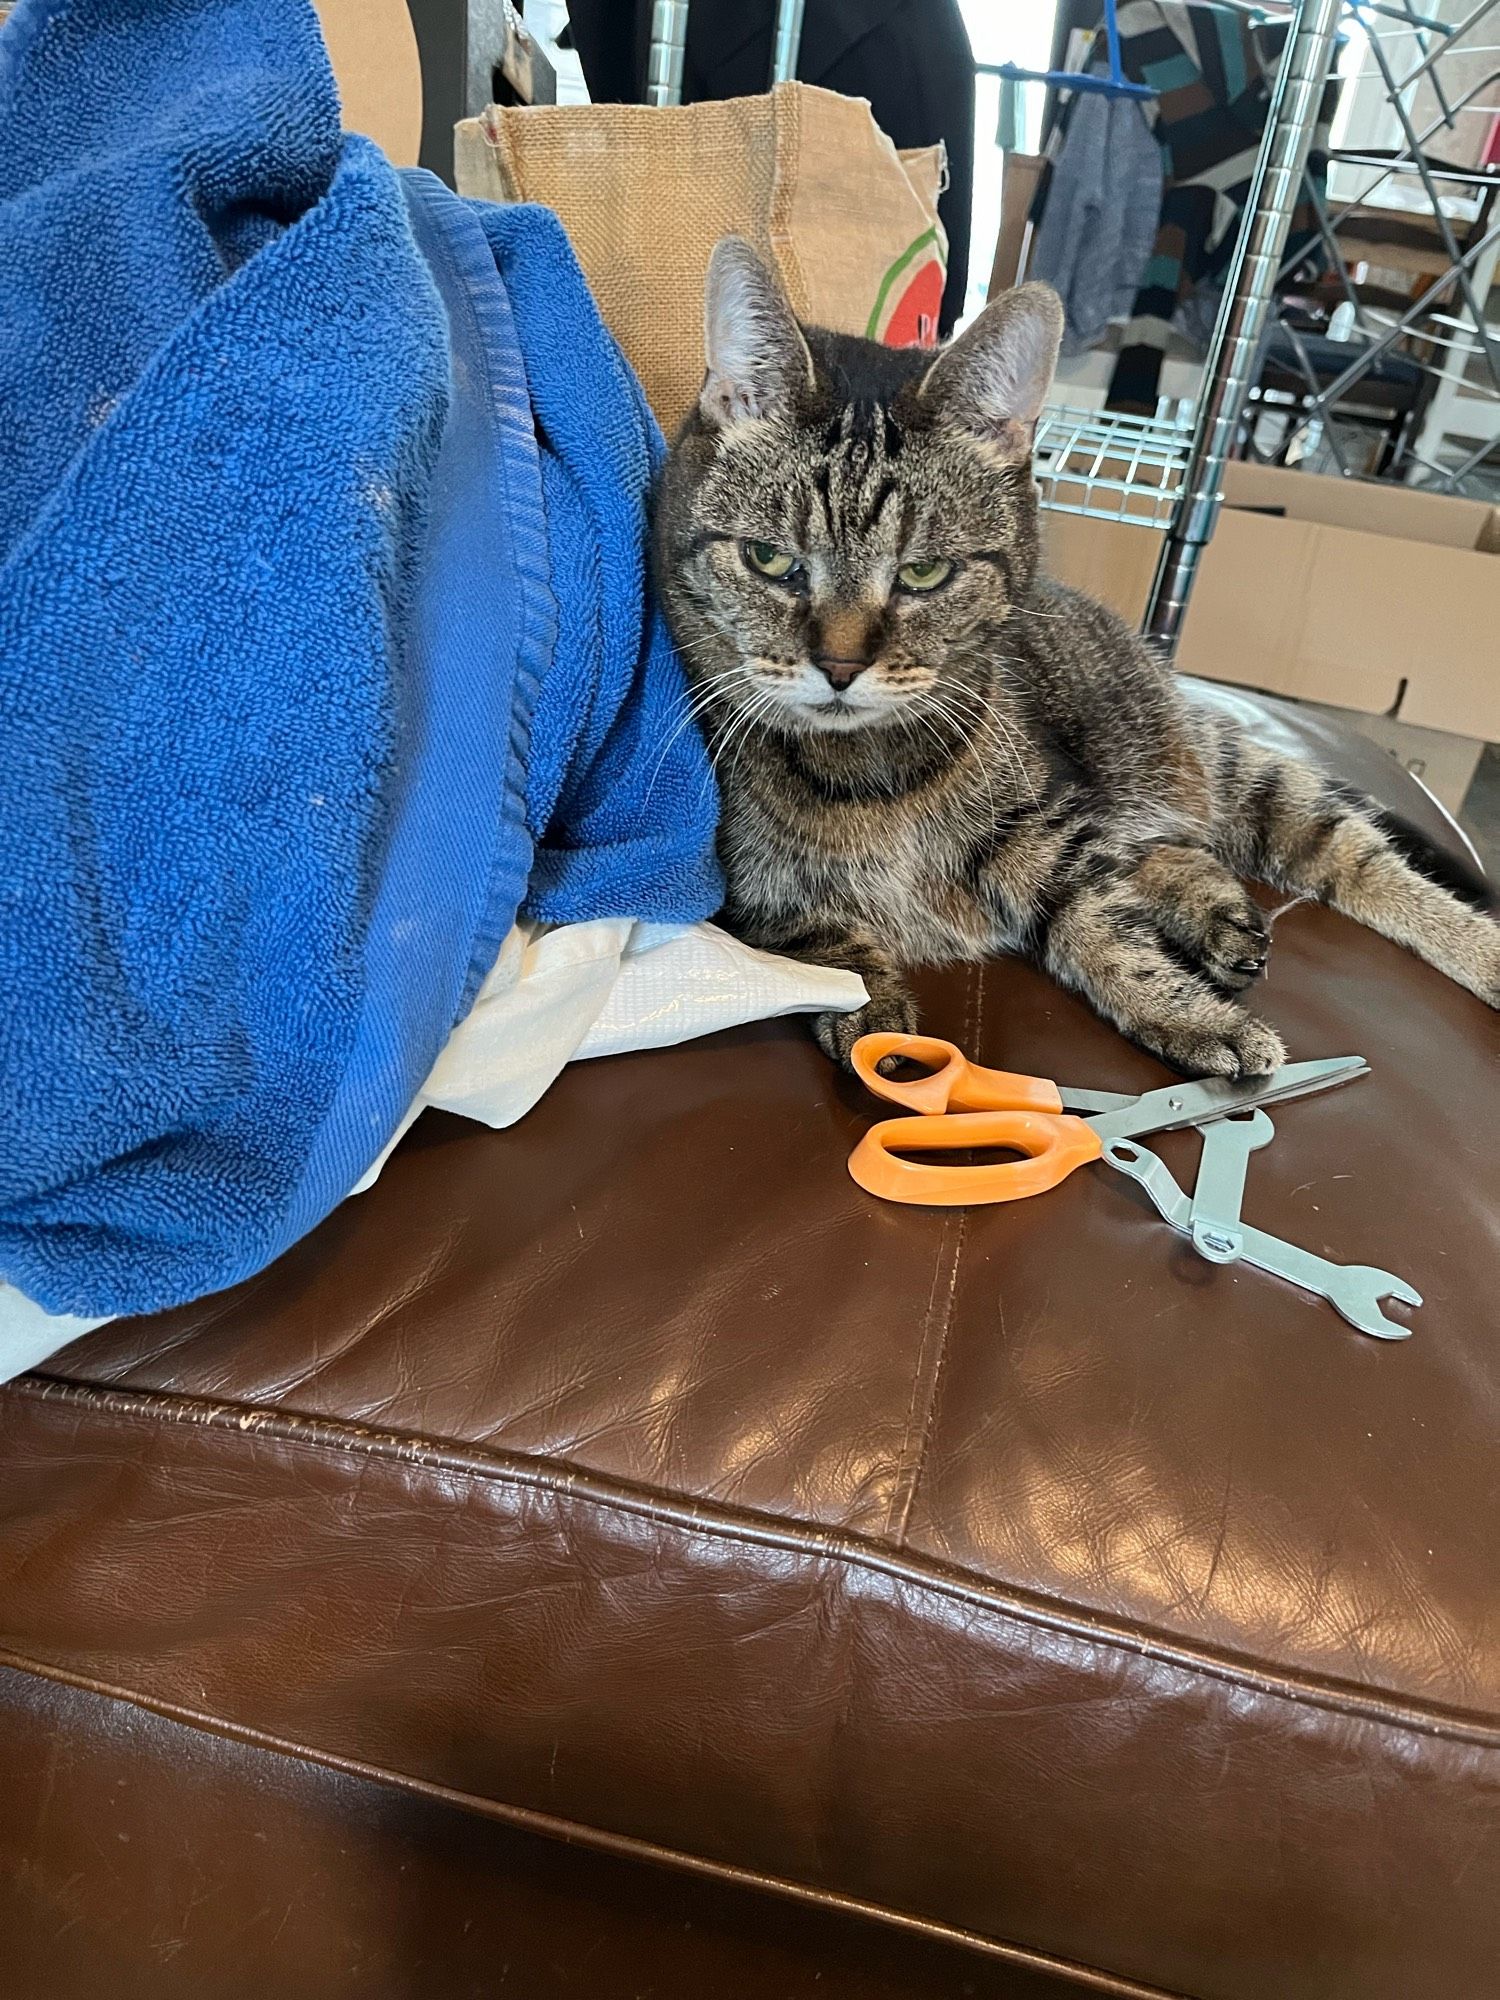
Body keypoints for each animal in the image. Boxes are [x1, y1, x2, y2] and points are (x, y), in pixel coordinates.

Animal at [656, 238, 1500, 1080]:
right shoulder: (748, 895)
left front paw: (1190, 1016)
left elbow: (1108, 932)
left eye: (924, 573)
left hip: (1216, 766)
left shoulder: (1046, 838)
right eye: (770, 561)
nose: (838, 666)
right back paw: (1216, 911)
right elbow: (820, 946)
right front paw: (873, 1015)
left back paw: (1474, 952)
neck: (865, 774)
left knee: (1349, 856)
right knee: (1164, 849)